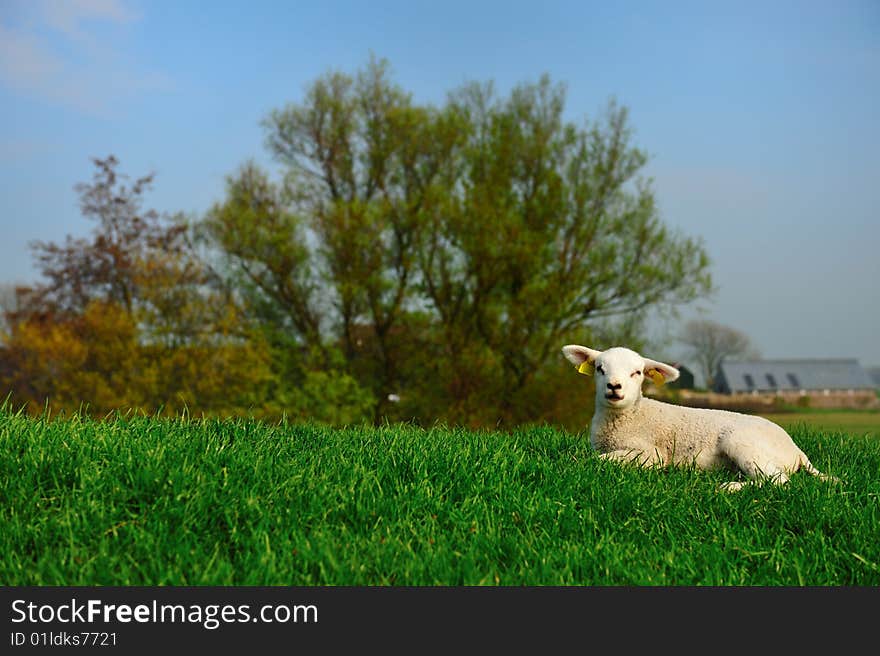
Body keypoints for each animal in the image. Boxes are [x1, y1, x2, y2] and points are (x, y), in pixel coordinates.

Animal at [560, 344, 836, 492]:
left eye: (637, 373)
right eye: (599, 369)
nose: (614, 386)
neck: (631, 416)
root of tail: (795, 450)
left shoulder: (650, 454)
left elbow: (596, 460)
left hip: (744, 443)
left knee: (778, 481)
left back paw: (729, 488)